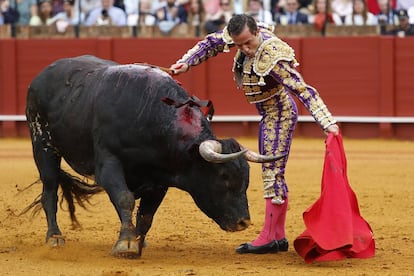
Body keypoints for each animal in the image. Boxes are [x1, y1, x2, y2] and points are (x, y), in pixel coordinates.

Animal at [25, 55, 284, 258]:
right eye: (223, 177)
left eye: (246, 180)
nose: (244, 222)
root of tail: (42, 75)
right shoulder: (108, 165)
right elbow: (125, 199)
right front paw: (126, 244)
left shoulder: (160, 179)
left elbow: (146, 214)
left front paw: (136, 241)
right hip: (43, 146)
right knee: (50, 190)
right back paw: (54, 237)